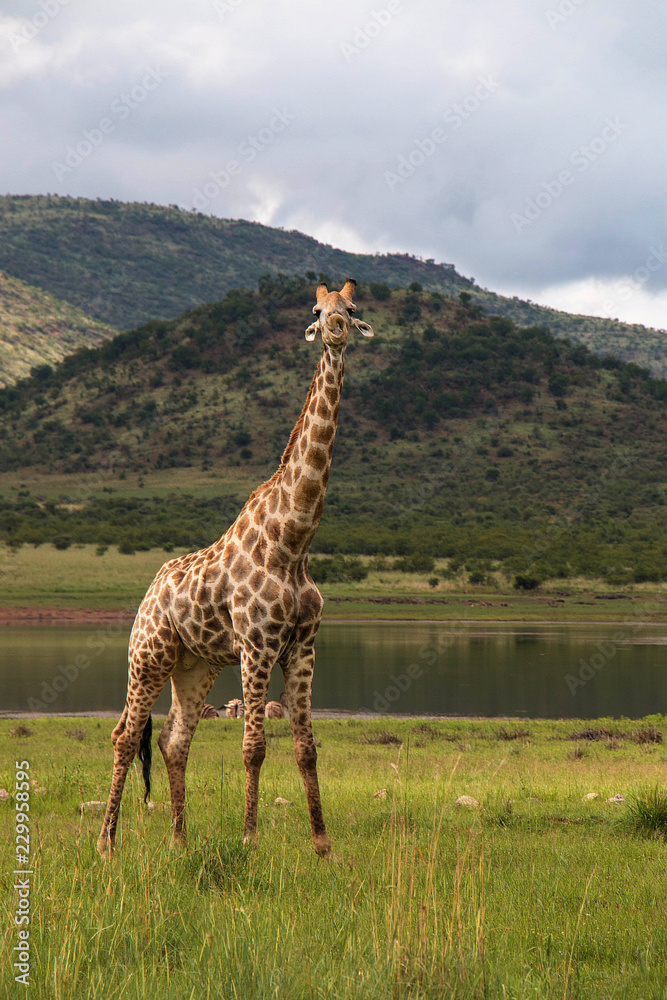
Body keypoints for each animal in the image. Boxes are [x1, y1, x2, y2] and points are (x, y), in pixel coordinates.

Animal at [97, 279, 373, 859]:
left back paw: (179, 841)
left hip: (194, 665)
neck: (293, 542)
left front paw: (323, 845)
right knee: (126, 735)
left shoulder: (303, 646)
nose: (336, 331)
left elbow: (306, 747)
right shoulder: (257, 645)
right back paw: (106, 843)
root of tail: (149, 592)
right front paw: (249, 837)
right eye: (316, 311)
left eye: (352, 308)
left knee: (173, 741)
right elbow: (254, 746)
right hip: (148, 655)